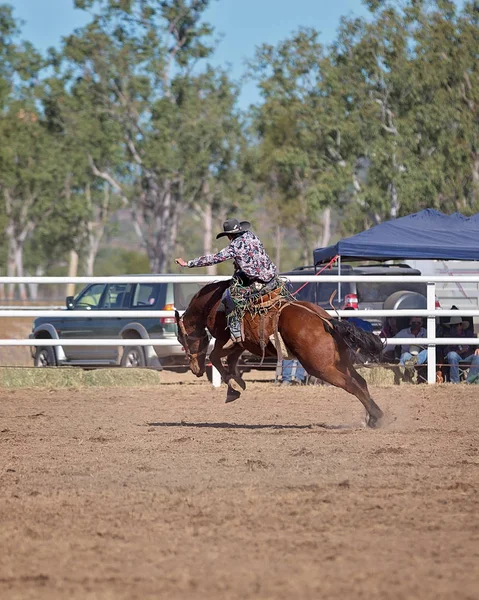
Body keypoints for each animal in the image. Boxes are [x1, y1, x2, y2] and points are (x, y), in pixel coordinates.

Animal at [176, 280, 386, 426]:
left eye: (181, 339)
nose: (195, 369)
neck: (213, 304)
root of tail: (326, 321)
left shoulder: (223, 339)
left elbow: (215, 357)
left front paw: (233, 389)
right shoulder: (240, 344)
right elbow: (231, 361)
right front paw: (237, 383)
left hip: (320, 367)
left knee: (351, 384)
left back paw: (377, 416)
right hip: (339, 361)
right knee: (361, 382)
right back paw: (372, 418)